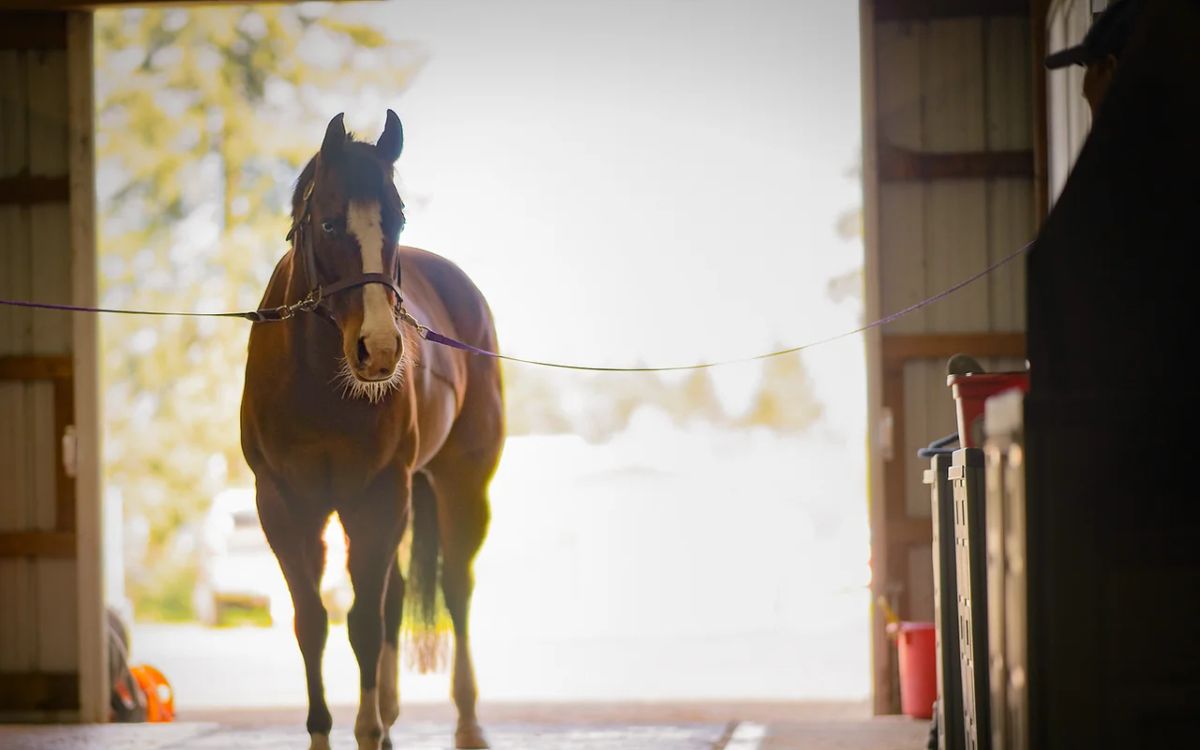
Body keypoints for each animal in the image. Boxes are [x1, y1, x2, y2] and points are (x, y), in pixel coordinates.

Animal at [240, 111, 503, 750]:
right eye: (330, 222)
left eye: (398, 219)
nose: (380, 349)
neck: (316, 386)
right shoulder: (283, 505)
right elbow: (312, 622)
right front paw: (328, 732)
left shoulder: (377, 496)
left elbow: (362, 620)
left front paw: (367, 729)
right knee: (397, 593)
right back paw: (391, 707)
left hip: (459, 485)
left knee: (454, 588)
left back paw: (466, 721)